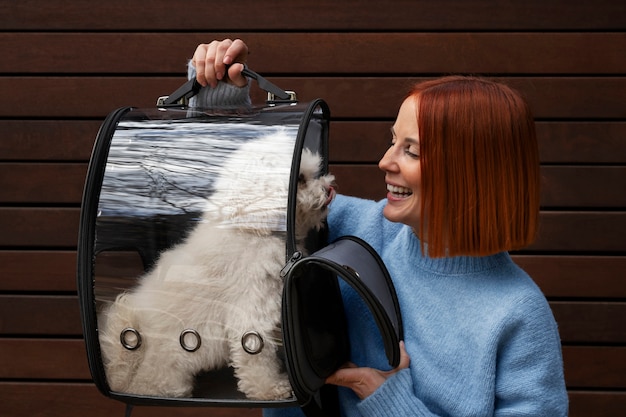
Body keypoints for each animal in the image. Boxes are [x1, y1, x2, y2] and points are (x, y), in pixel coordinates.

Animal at [97, 132, 334, 398]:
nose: (329, 188)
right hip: (170, 376)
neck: (250, 227)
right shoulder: (250, 313)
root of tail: (120, 378)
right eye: (300, 179)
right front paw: (271, 389)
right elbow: (256, 359)